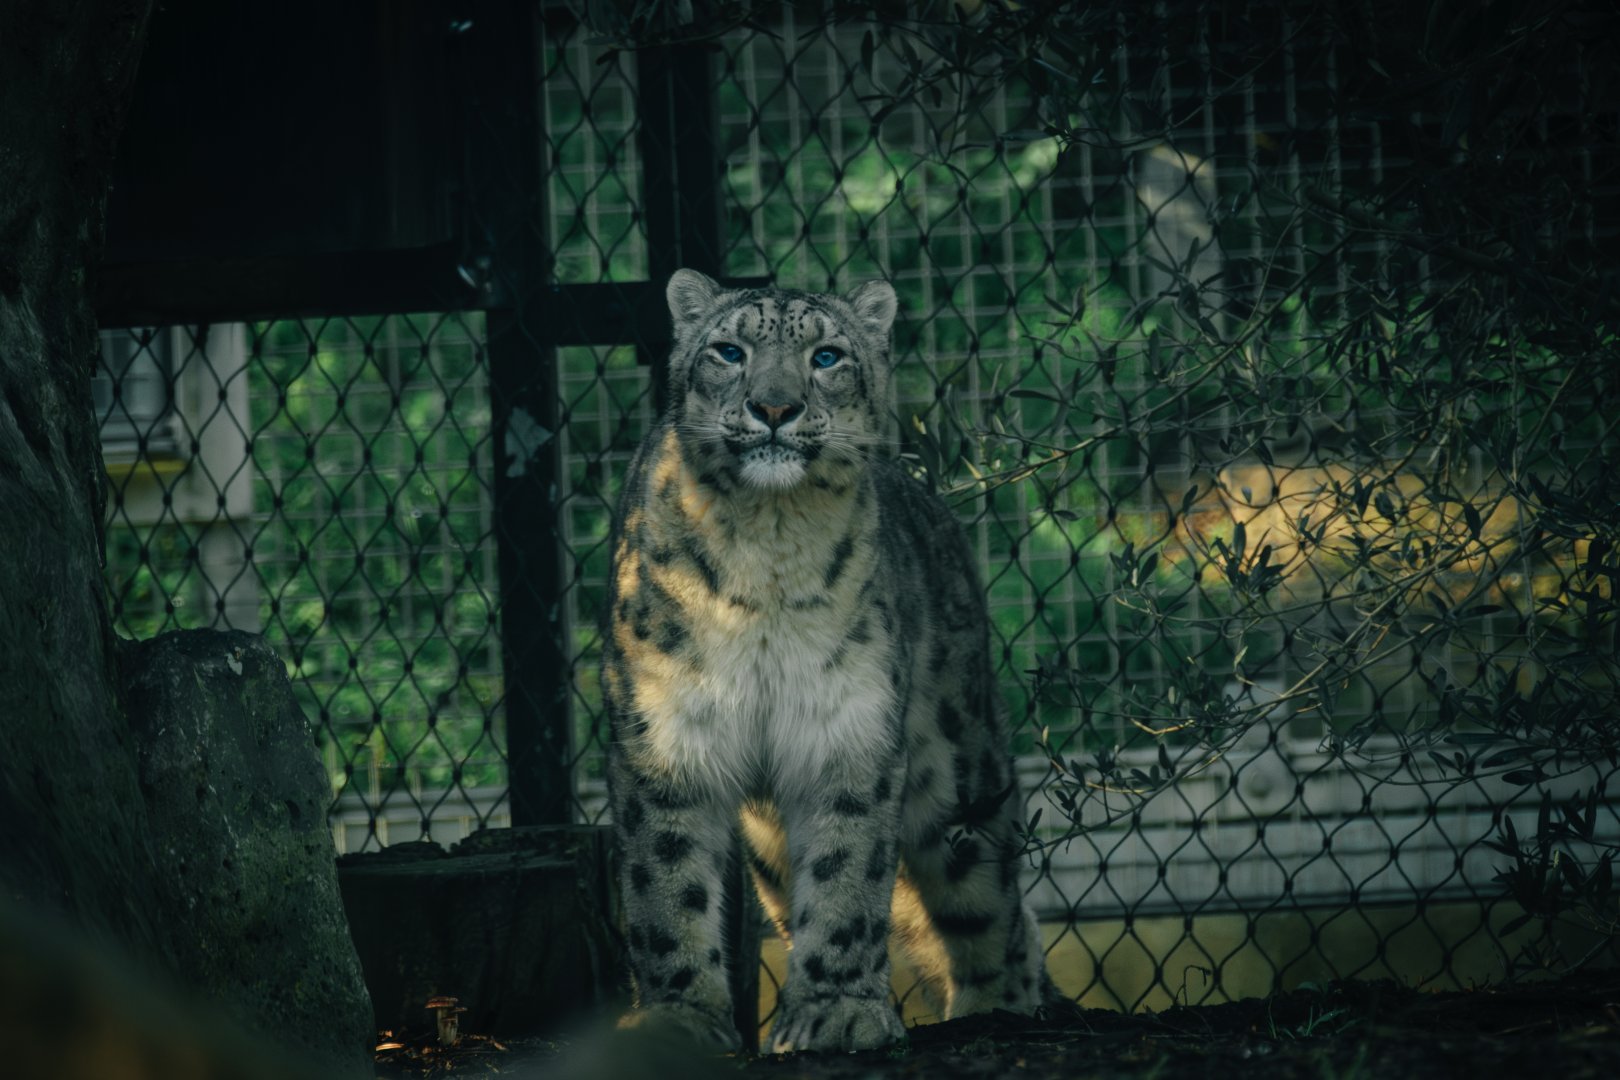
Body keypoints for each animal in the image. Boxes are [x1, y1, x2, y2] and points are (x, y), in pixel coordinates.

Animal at [602, 269, 1056, 1054]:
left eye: (826, 356)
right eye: (729, 350)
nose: (774, 407)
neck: (764, 550)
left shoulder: (848, 727)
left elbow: (848, 876)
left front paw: (840, 1012)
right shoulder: (665, 731)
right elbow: (667, 884)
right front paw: (679, 1018)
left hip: (958, 778)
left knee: (992, 909)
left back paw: (993, 1012)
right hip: (770, 840)